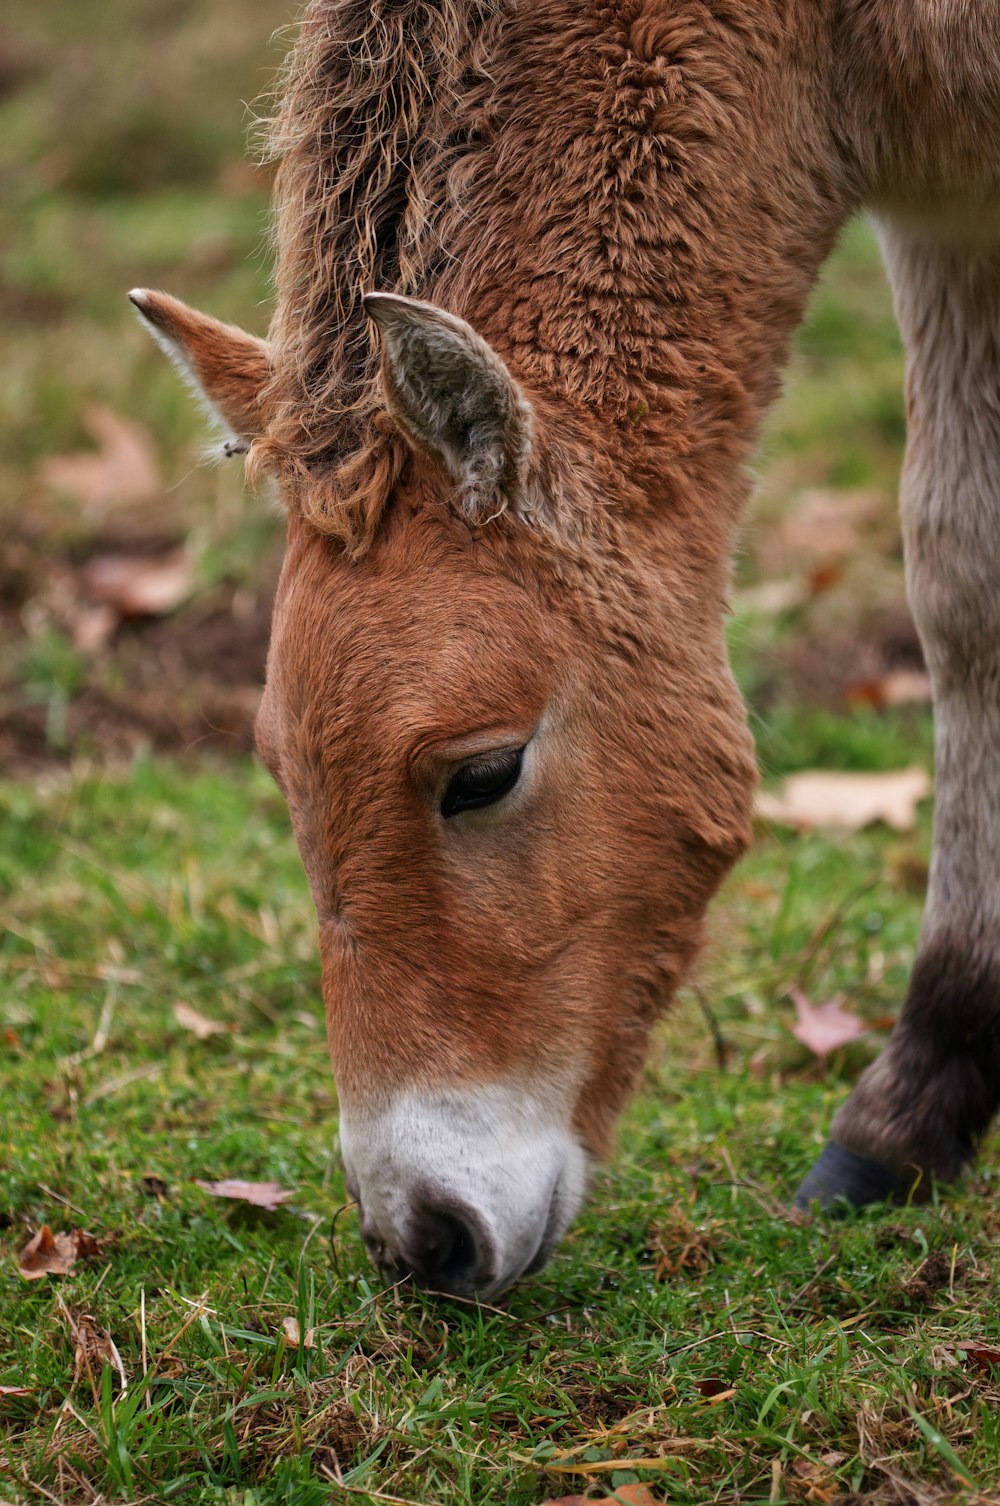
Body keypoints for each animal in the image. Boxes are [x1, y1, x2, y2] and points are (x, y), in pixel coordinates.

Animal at [132, 0, 1000, 1295]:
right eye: (280, 772)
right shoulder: (942, 210)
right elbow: (962, 581)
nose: (423, 1237)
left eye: (484, 773)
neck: (822, 37)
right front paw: (914, 1115)